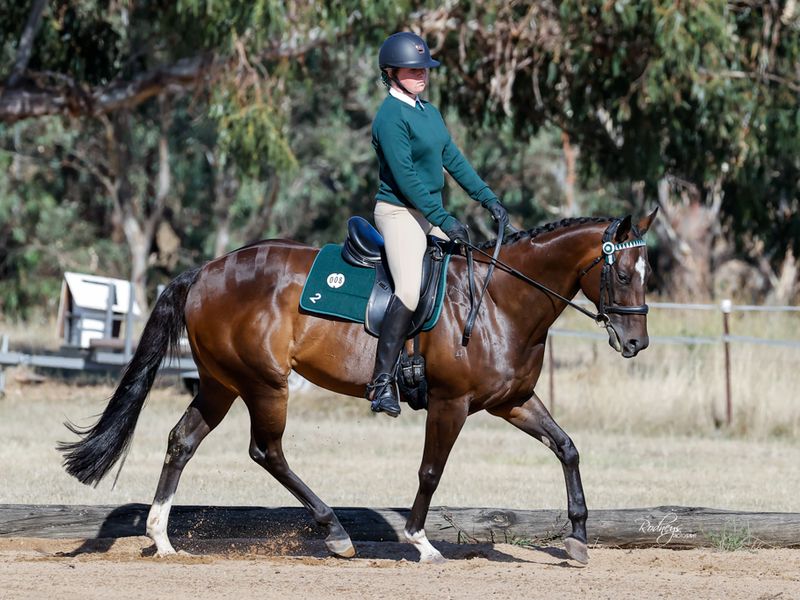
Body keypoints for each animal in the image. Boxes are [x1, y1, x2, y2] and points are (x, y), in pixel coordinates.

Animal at [59, 209, 658, 565]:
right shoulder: (451, 403)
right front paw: (420, 542)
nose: (636, 343)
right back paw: (335, 532)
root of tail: (205, 271)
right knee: (266, 450)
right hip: (264, 383)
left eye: (647, 273)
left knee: (182, 441)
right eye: (623, 273)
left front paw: (577, 540)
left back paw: (162, 538)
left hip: (220, 382)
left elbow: (567, 447)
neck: (499, 301)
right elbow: (431, 471)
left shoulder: (512, 401)